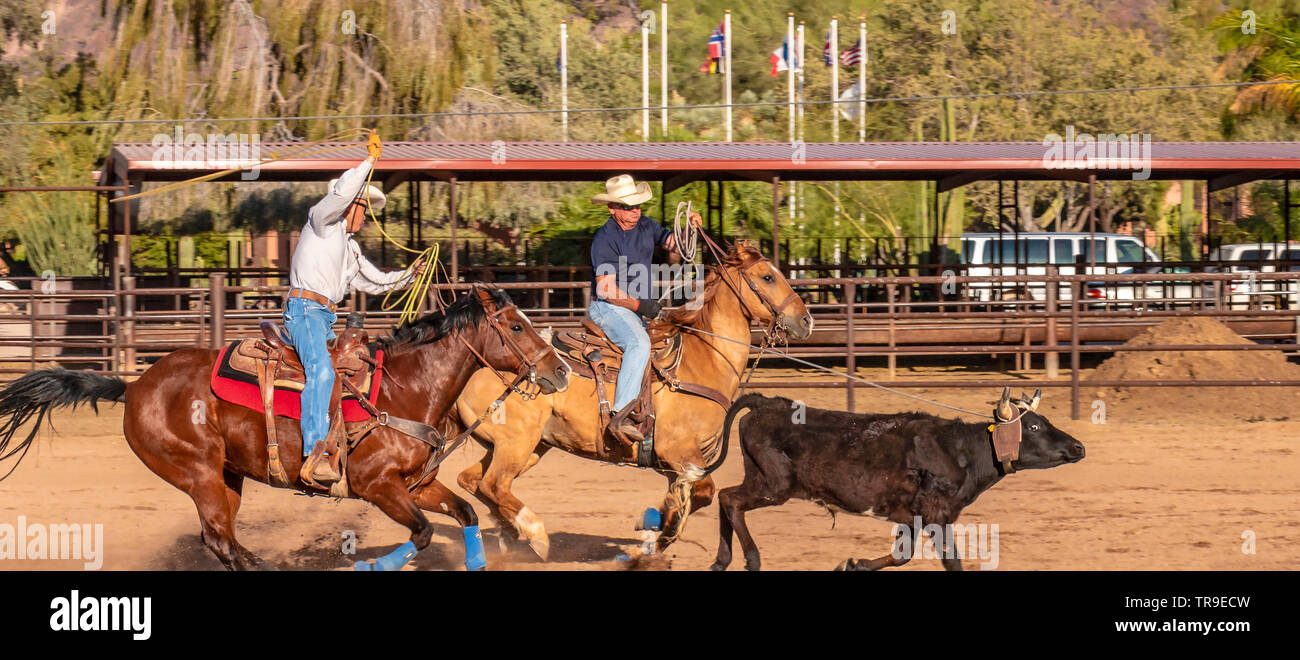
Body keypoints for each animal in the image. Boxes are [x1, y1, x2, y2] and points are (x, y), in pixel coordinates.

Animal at [0, 288, 574, 571]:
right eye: (516, 325)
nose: (562, 371)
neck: (405, 389)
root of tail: (134, 386)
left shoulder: (417, 485)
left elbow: (465, 513)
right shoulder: (377, 488)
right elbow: (423, 534)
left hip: (227, 478)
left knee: (221, 539)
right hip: (198, 474)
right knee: (220, 540)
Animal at [452, 245, 806, 558]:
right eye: (767, 277)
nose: (805, 320)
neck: (702, 360)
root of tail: (478, 363)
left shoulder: (679, 467)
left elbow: (681, 500)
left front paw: (653, 531)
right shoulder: (678, 452)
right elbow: (703, 494)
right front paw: (651, 541)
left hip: (527, 446)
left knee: (473, 480)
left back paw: (510, 534)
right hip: (517, 443)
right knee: (493, 485)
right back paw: (535, 536)